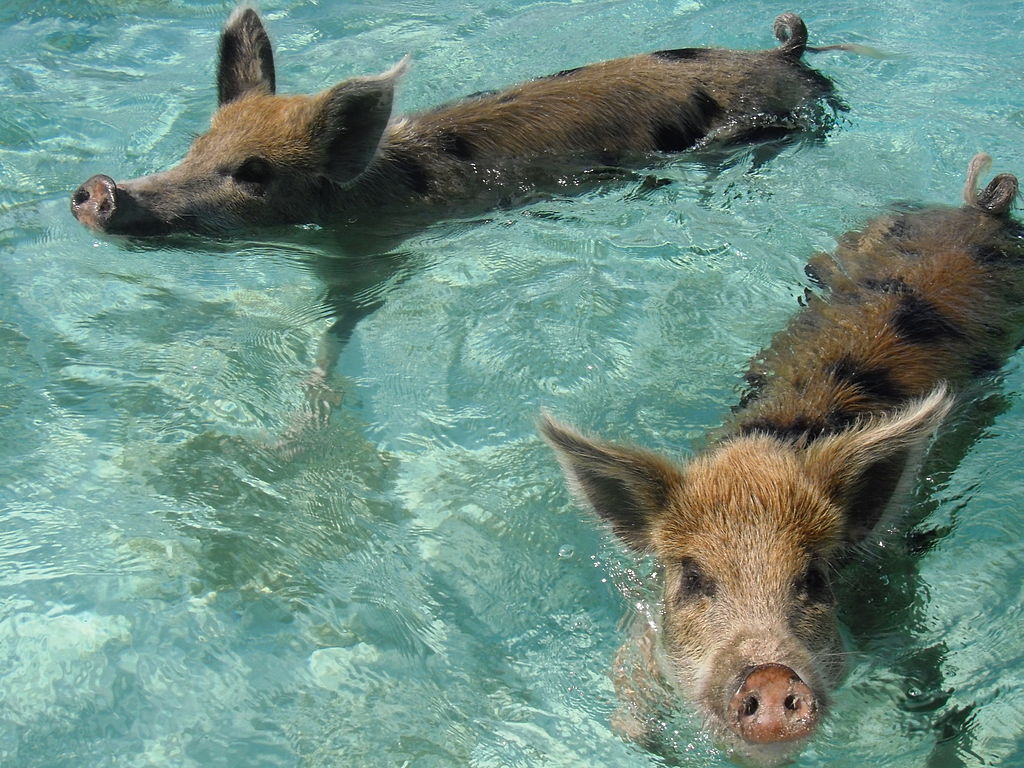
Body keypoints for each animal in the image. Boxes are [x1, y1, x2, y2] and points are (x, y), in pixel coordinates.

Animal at [540, 153, 1019, 765]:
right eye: (693, 578)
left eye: (812, 577)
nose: (770, 678)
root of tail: (982, 208)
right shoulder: (645, 614)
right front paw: (636, 737)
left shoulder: (893, 592)